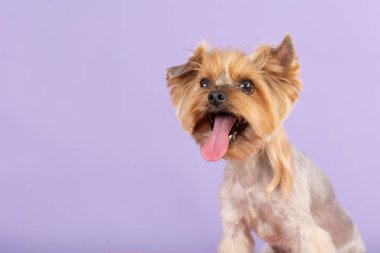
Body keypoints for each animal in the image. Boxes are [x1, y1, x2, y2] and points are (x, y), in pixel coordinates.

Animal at [166, 34, 366, 253]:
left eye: (247, 86)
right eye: (203, 83)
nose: (215, 95)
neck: (248, 168)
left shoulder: (305, 231)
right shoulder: (234, 226)